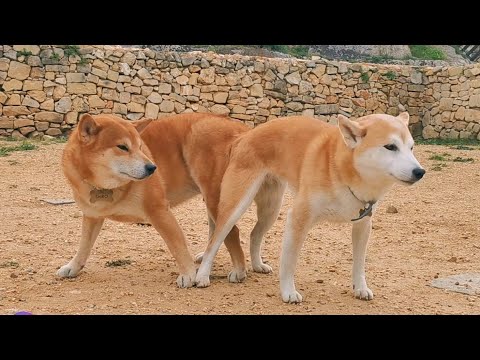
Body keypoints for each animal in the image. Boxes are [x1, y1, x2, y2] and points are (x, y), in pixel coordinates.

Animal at [56, 112, 276, 286]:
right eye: (122, 147)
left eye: (140, 146)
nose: (153, 168)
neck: (107, 187)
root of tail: (244, 130)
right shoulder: (92, 216)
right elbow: (84, 246)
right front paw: (73, 267)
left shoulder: (159, 210)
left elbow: (177, 246)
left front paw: (188, 275)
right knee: (217, 230)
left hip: (214, 192)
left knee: (231, 231)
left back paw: (238, 271)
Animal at [193, 112, 426, 300]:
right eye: (390, 147)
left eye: (411, 147)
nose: (420, 172)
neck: (340, 170)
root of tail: (245, 136)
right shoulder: (298, 218)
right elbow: (289, 262)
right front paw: (288, 292)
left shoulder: (363, 224)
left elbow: (359, 263)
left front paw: (360, 288)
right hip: (236, 206)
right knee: (216, 239)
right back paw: (203, 275)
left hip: (271, 209)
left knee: (254, 234)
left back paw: (258, 265)